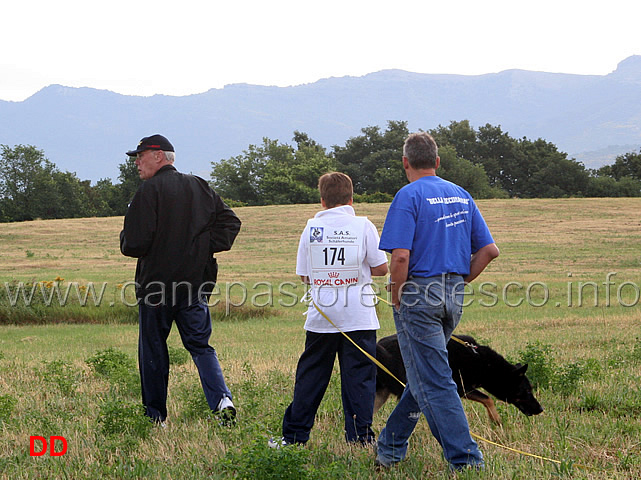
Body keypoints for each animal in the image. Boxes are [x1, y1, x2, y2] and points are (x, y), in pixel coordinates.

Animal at [372, 334, 544, 424]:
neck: (482, 361)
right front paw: (495, 420)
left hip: (381, 395)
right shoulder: (461, 388)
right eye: (526, 391)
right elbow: (488, 399)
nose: (541, 409)